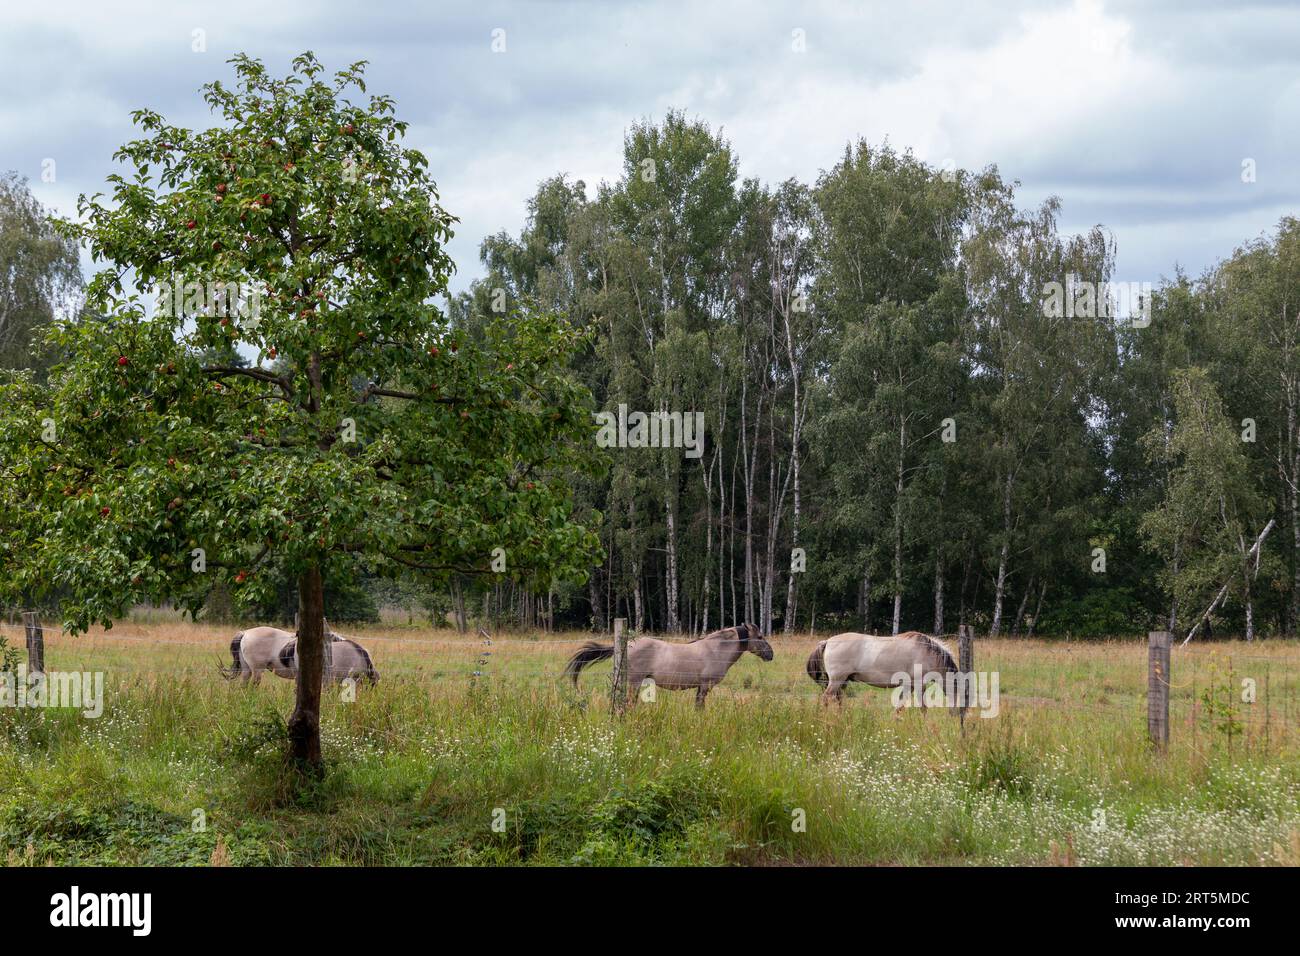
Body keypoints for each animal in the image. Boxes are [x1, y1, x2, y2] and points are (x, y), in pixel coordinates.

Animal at [564, 623, 773, 708]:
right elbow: (699, 707)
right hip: (633, 682)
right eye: (760, 636)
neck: (716, 649)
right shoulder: (705, 686)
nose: (771, 654)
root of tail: (626, 644)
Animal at [806, 631, 957, 710]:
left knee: (837, 700)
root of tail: (827, 641)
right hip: (836, 681)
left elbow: (899, 706)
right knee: (826, 698)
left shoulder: (910, 686)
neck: (927, 652)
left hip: (841, 682)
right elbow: (923, 708)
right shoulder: (919, 685)